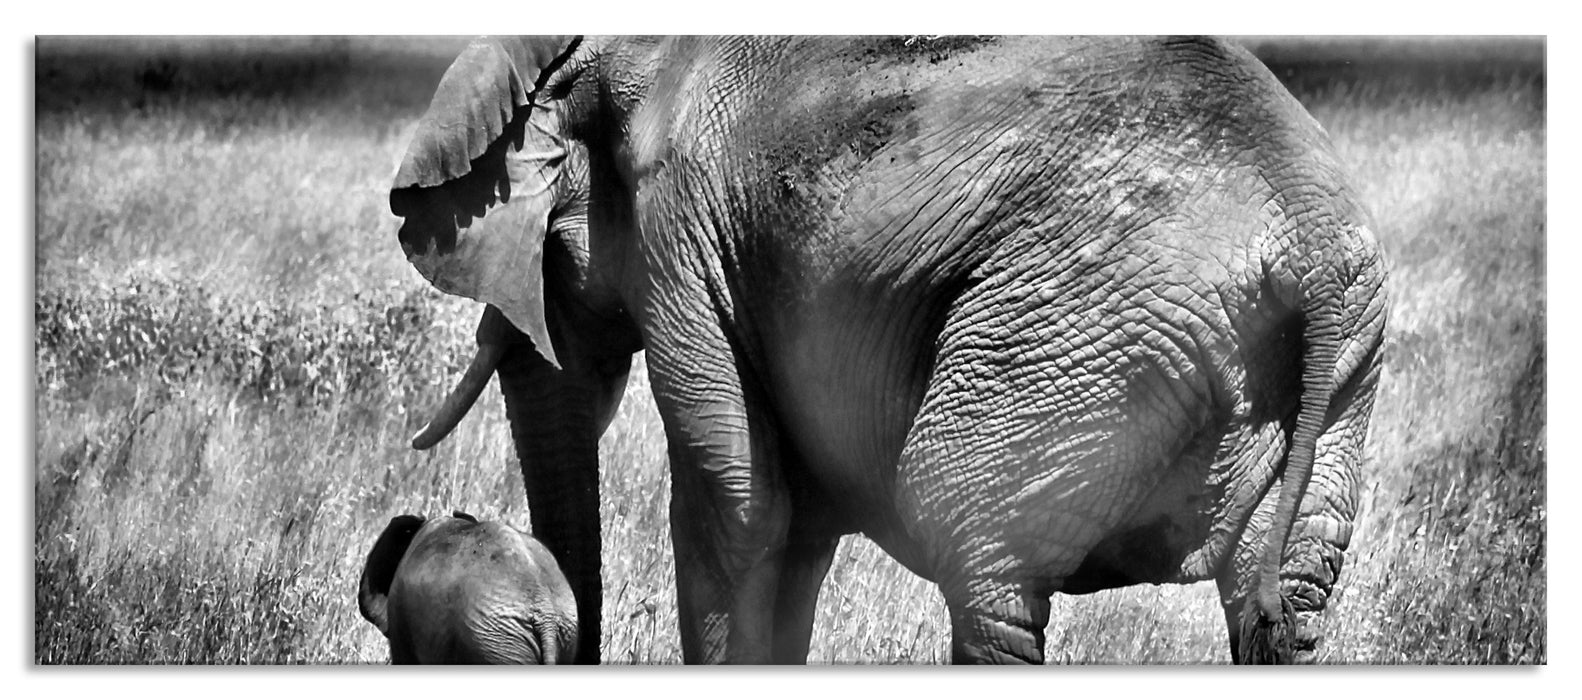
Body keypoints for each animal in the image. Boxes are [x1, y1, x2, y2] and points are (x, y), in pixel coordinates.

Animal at [392, 35, 1385, 665]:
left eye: (547, 255)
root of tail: (1302, 231)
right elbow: (797, 525)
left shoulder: (681, 236)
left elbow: (738, 503)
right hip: (1337, 366)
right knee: (1287, 596)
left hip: (1073, 330)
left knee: (975, 546)